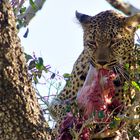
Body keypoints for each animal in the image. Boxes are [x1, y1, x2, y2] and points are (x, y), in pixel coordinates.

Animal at [49, 9, 140, 138]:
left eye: (114, 42)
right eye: (92, 42)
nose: (101, 63)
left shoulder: (123, 110)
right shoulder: (60, 99)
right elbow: (62, 108)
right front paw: (66, 123)